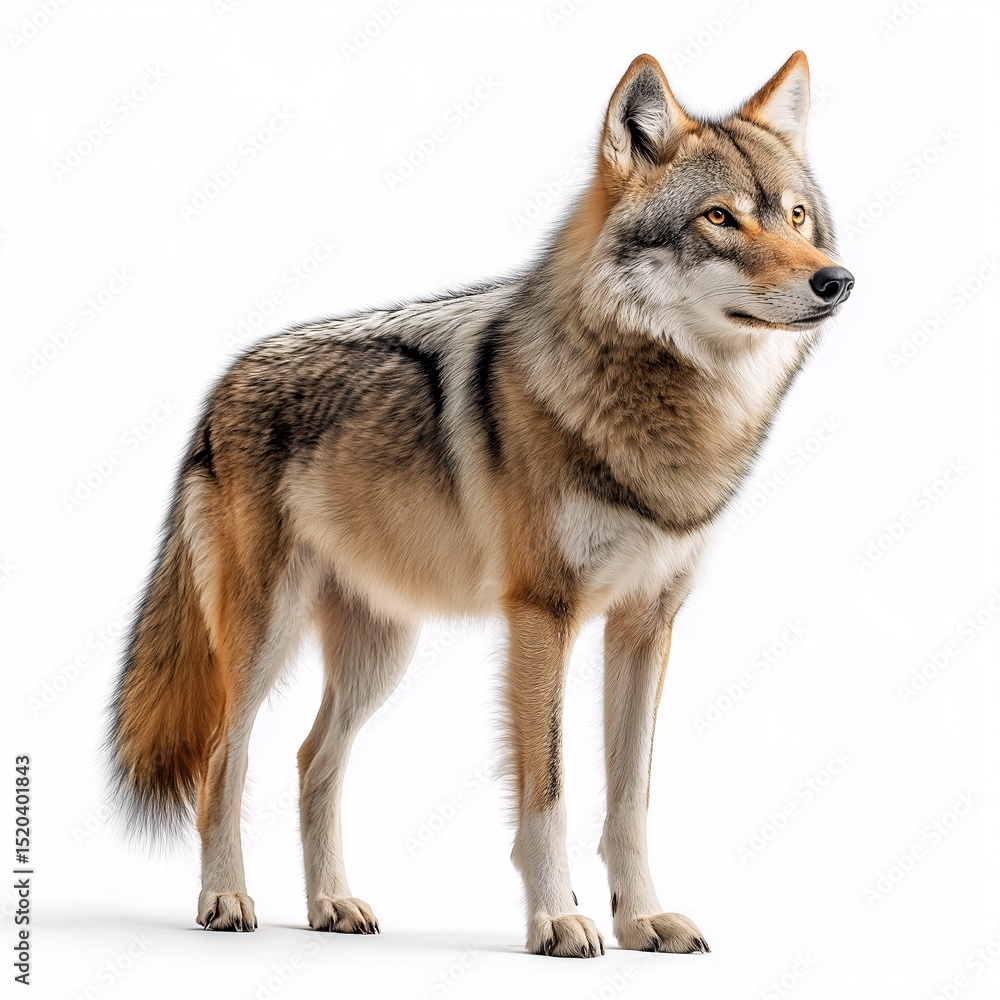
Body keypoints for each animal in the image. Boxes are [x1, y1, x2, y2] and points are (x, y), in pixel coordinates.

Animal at [107, 50, 853, 957]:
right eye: (719, 218)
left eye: (796, 216)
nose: (837, 280)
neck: (666, 417)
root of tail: (221, 385)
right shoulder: (543, 613)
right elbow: (549, 791)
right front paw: (558, 919)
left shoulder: (646, 625)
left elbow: (629, 798)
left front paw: (641, 920)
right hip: (263, 640)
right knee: (226, 757)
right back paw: (225, 899)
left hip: (380, 654)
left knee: (313, 760)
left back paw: (332, 905)